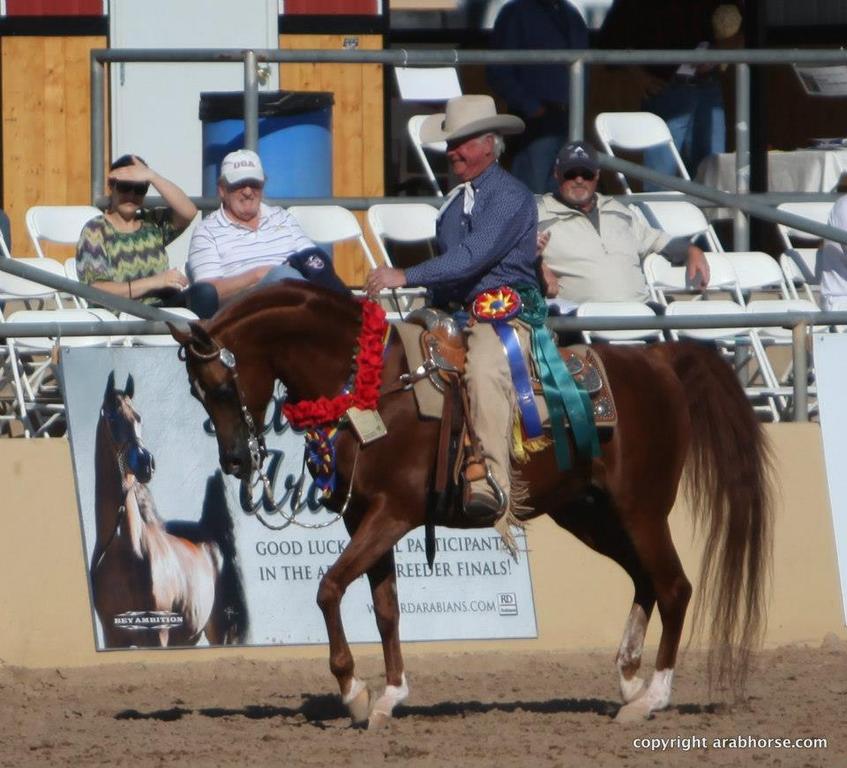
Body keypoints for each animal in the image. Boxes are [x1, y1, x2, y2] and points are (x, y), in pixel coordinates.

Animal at [90, 372, 248, 648]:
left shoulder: (157, 634)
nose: (146, 463)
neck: (125, 547)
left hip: (220, 632)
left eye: (138, 417)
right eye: (112, 417)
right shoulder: (113, 636)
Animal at [169, 281, 772, 726]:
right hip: (591, 515)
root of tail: (660, 360)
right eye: (195, 393)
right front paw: (389, 695)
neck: (371, 386)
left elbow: (329, 588)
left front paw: (353, 689)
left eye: (220, 387)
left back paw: (652, 698)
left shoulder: (393, 514)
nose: (235, 462)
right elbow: (384, 608)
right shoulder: (364, 519)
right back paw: (628, 678)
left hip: (641, 511)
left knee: (674, 587)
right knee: (646, 580)